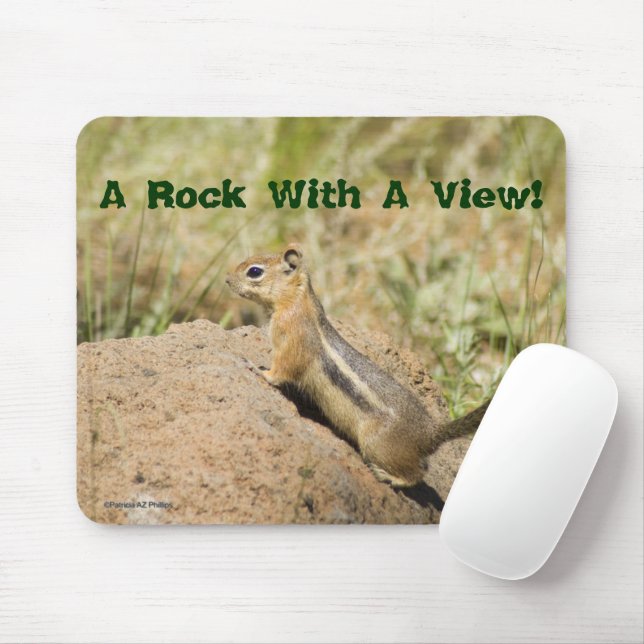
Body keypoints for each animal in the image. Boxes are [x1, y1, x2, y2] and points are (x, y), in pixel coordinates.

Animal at [225, 243, 488, 488]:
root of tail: (430, 434)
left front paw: (258, 370)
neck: (296, 301)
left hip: (375, 444)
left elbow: (282, 370)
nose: (227, 280)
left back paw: (389, 477)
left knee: (416, 475)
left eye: (255, 271)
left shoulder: (293, 343)